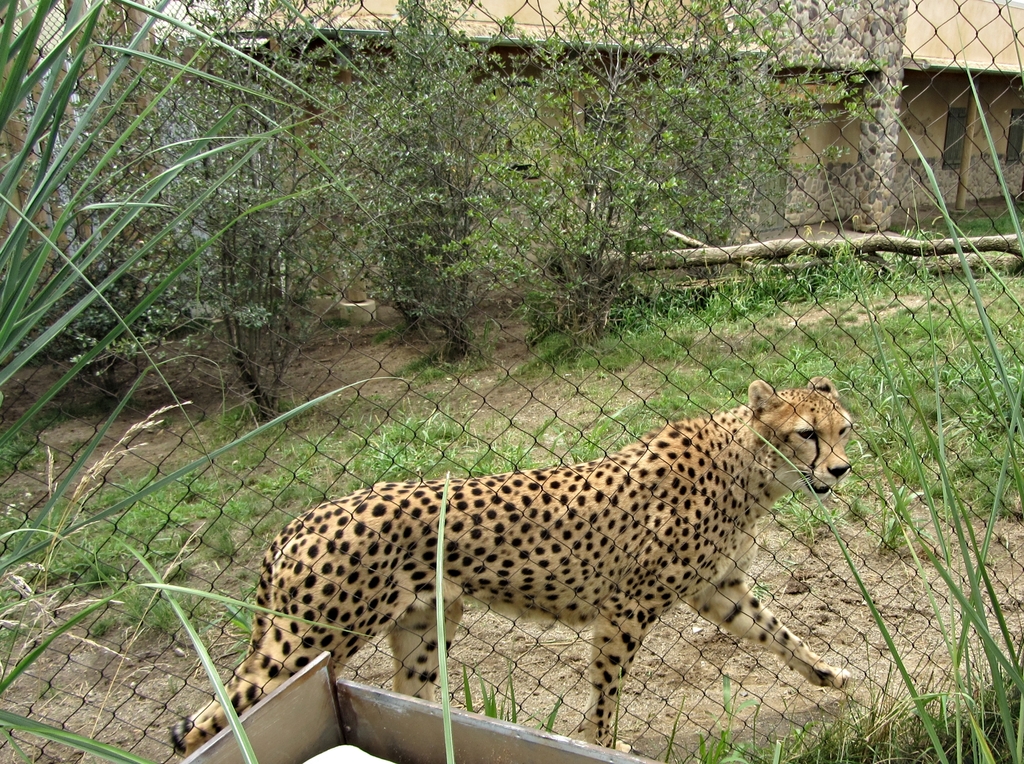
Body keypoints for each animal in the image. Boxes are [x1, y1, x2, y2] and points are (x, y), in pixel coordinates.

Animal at [172, 377, 854, 756]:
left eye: (844, 429)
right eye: (806, 434)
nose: (842, 469)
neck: (747, 469)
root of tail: (298, 521)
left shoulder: (719, 590)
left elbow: (781, 634)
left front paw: (830, 675)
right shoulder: (625, 610)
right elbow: (607, 690)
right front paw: (603, 744)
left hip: (423, 629)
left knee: (410, 701)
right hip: (308, 642)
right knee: (211, 721)